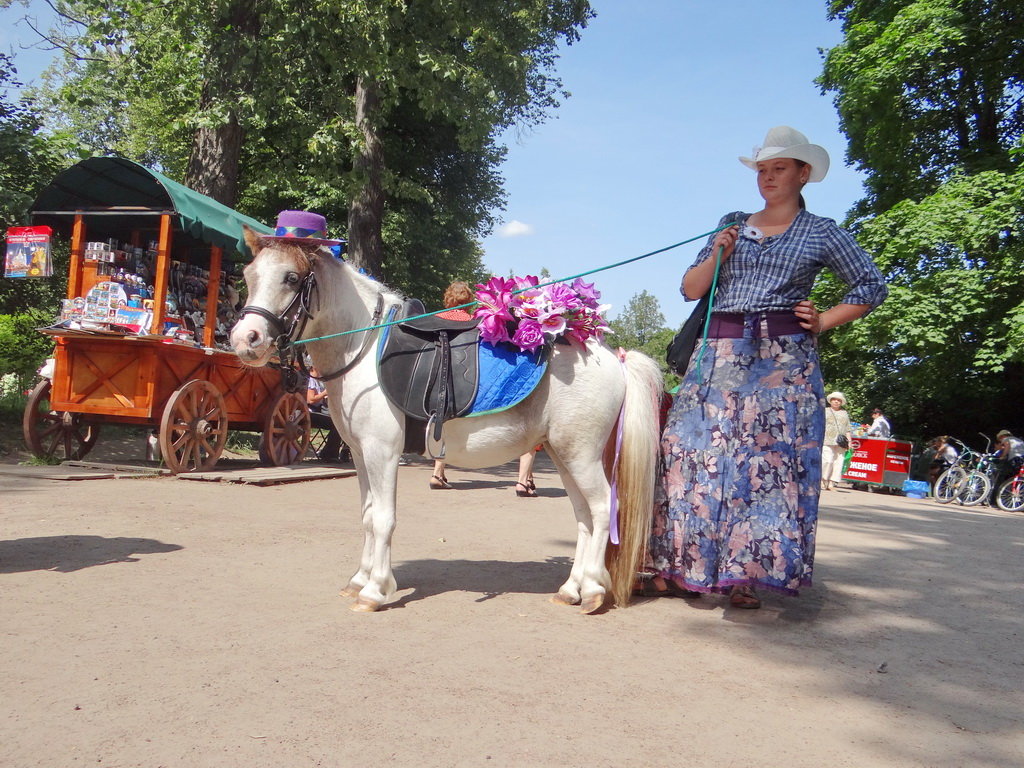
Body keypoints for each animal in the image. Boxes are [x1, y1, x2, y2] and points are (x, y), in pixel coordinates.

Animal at [230, 228, 663, 614]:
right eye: (248, 275)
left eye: (291, 277)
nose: (245, 339)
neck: (364, 346)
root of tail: (612, 356)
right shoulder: (359, 453)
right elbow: (368, 516)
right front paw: (359, 580)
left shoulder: (382, 451)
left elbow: (383, 519)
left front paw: (375, 591)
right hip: (563, 454)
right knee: (584, 516)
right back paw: (571, 589)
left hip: (580, 455)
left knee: (602, 508)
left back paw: (592, 591)